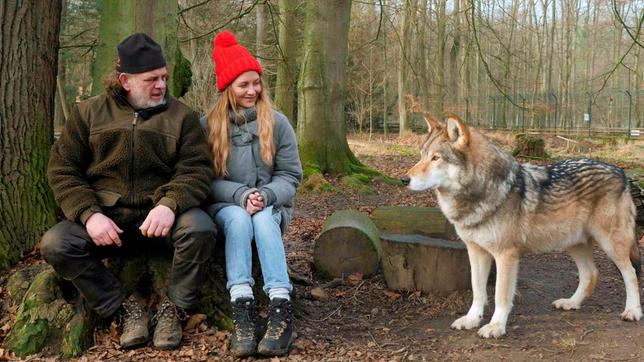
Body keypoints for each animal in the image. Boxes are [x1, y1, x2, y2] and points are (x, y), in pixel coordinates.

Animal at [400, 114, 640, 338]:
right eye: (422, 155)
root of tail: (621, 172)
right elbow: (478, 291)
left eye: (436, 158)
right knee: (591, 273)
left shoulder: (506, 255)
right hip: (573, 243)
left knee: (630, 273)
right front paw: (471, 320)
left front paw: (496, 327)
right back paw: (571, 303)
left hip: (610, 244)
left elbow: (501, 295)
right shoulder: (476, 251)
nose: (404, 180)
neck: (484, 192)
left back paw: (633, 311)